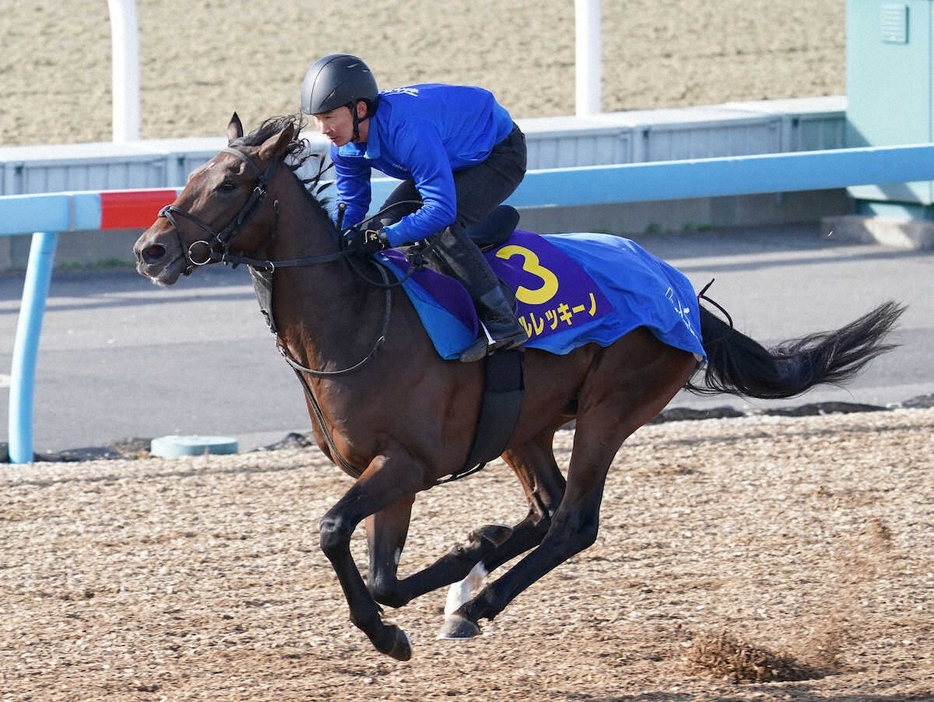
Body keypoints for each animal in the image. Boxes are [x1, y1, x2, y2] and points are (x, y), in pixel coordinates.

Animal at [135, 114, 904, 660]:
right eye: (193, 175)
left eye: (230, 183)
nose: (150, 249)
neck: (355, 320)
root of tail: (681, 291)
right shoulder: (393, 472)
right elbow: (385, 575)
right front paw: (444, 578)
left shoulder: (406, 464)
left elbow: (334, 534)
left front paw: (391, 631)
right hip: (522, 425)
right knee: (544, 509)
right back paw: (471, 582)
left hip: (610, 408)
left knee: (573, 523)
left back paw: (479, 600)